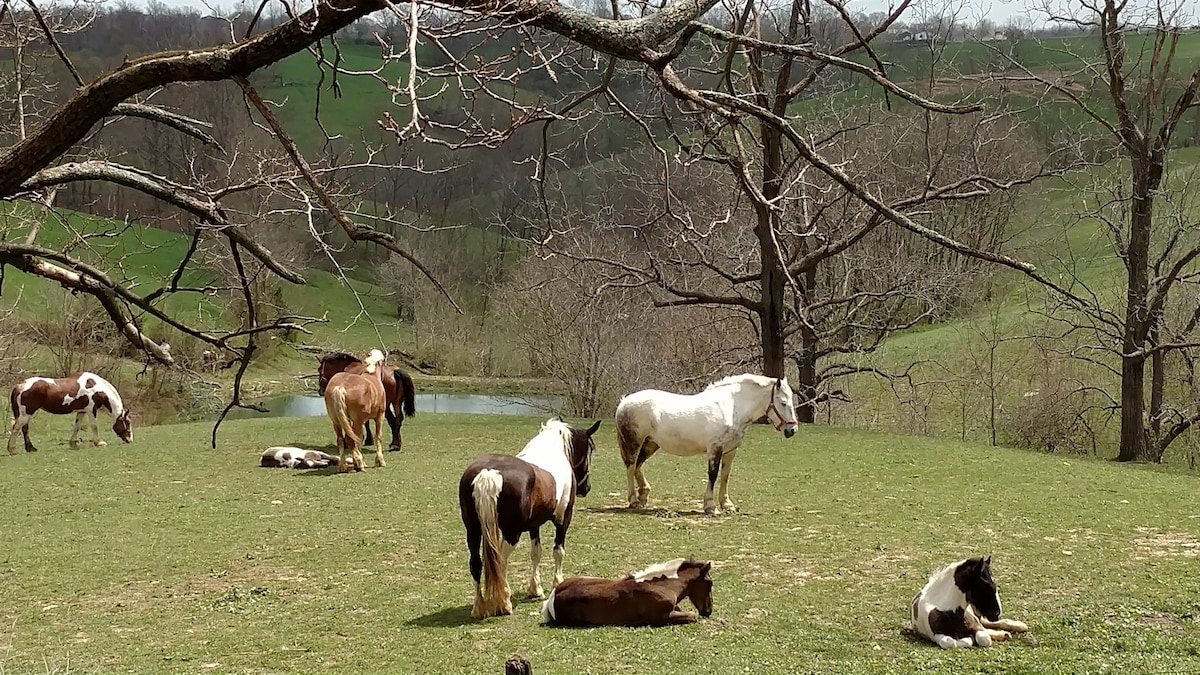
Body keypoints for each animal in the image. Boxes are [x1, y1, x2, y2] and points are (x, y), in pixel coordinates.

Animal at [458, 417, 600, 619]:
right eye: (591, 448)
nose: (586, 488)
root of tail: (488, 473)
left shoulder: (534, 525)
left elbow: (536, 553)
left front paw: (535, 589)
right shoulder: (563, 519)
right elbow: (558, 551)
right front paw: (558, 582)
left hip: (473, 531)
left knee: (476, 564)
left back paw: (479, 607)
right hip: (511, 534)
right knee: (500, 561)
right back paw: (504, 603)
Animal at [544, 554, 710, 629]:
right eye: (710, 583)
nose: (708, 611)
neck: (663, 585)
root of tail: (552, 597)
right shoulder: (662, 617)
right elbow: (693, 615)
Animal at [614, 372, 801, 509]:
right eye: (783, 403)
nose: (792, 430)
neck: (731, 406)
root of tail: (624, 401)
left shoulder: (730, 450)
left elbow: (725, 475)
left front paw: (727, 504)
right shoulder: (715, 448)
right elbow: (713, 474)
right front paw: (710, 506)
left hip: (650, 444)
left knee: (637, 466)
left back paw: (644, 495)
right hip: (634, 443)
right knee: (631, 467)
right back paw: (633, 500)